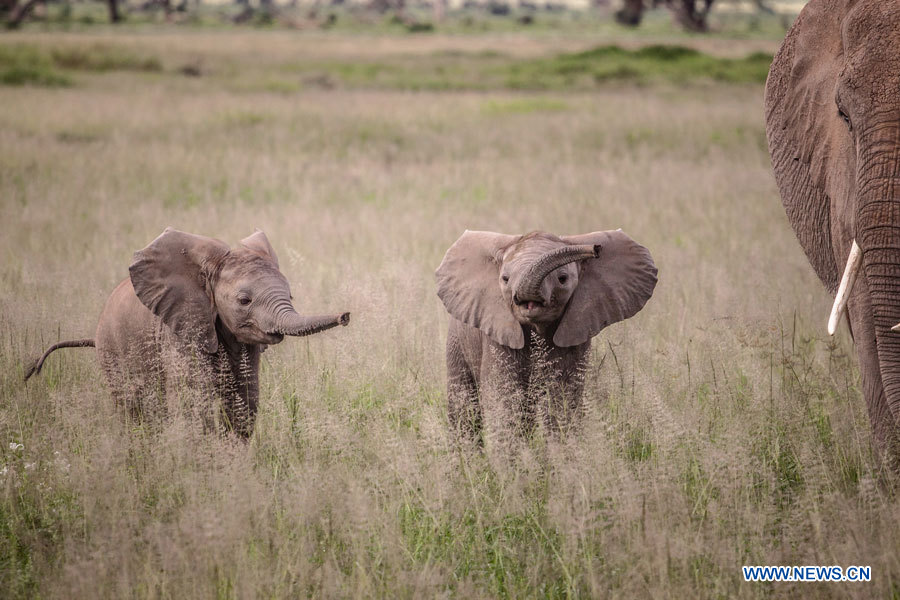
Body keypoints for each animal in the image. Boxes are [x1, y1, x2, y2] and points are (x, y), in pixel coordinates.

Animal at [26, 227, 350, 438]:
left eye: (291, 296)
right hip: (112, 352)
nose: (345, 316)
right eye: (244, 301)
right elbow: (195, 402)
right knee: (133, 410)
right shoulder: (180, 330)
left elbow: (245, 401)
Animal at [432, 227, 656, 442]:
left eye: (562, 279)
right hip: (457, 342)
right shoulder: (497, 336)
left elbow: (561, 404)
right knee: (464, 406)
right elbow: (505, 403)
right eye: (505, 279)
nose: (596, 248)